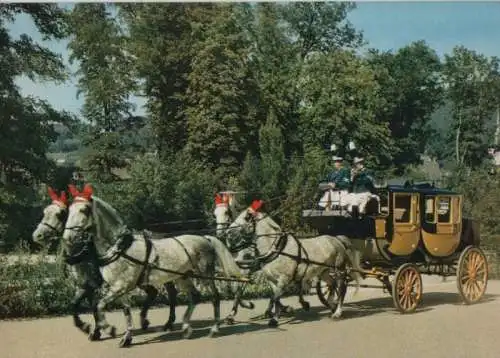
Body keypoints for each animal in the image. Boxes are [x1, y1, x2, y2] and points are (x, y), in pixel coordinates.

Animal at [32, 186, 179, 338]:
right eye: (45, 211)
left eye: (60, 214)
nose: (37, 235)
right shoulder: (84, 286)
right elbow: (76, 304)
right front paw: (90, 328)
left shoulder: (91, 285)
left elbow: (92, 306)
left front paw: (100, 329)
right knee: (153, 292)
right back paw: (145, 321)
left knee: (171, 293)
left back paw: (168, 323)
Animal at [63, 183, 243, 346]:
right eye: (69, 210)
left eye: (84, 210)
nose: (67, 238)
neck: (120, 248)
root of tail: (206, 238)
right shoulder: (118, 287)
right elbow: (125, 311)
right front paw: (126, 337)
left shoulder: (121, 286)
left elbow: (100, 305)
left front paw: (109, 329)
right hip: (183, 277)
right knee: (194, 296)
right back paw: (185, 327)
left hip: (205, 275)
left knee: (214, 297)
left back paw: (214, 328)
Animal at [225, 200, 362, 326]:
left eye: (246, 217)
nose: (228, 231)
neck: (277, 249)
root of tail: (336, 239)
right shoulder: (271, 280)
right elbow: (275, 297)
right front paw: (279, 313)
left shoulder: (284, 278)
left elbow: (275, 297)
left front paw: (279, 315)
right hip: (324, 272)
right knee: (332, 284)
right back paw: (331, 305)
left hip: (339, 270)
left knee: (342, 288)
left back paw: (337, 312)